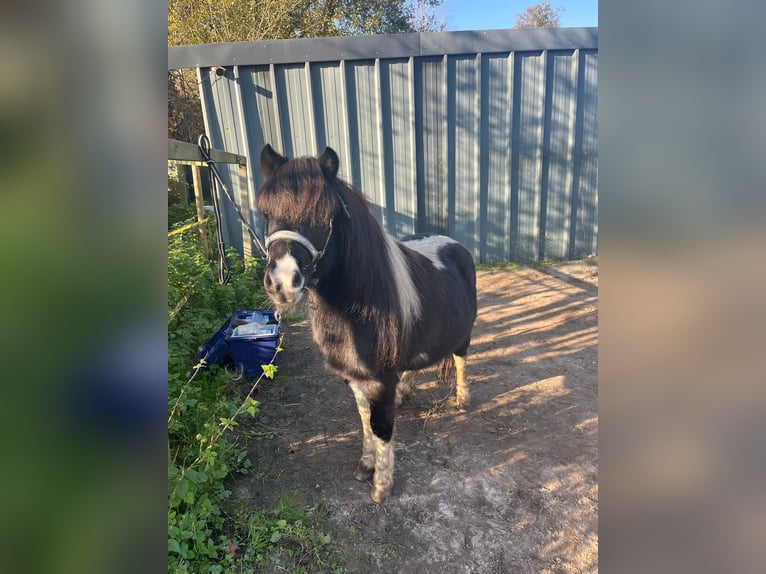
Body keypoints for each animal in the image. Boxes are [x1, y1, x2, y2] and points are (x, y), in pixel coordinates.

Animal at [255, 145, 476, 504]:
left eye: (326, 215)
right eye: (266, 213)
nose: (283, 282)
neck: (355, 314)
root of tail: (455, 244)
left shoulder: (380, 380)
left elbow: (381, 427)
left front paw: (382, 486)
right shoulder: (355, 378)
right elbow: (364, 422)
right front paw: (366, 465)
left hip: (464, 335)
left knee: (459, 360)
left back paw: (462, 399)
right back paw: (407, 390)